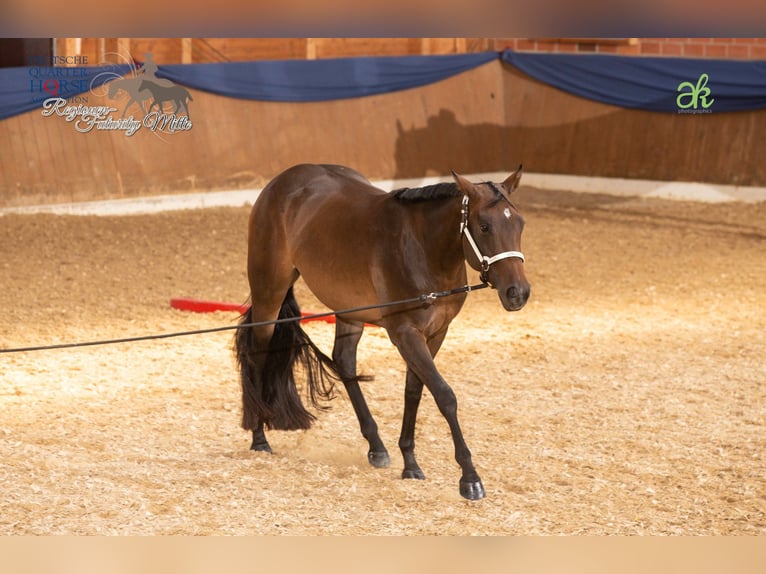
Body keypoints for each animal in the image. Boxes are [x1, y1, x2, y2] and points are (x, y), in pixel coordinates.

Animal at [235, 163, 530, 500]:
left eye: (519, 224)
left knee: (344, 361)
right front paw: (469, 477)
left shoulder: (435, 333)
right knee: (258, 354)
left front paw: (410, 462)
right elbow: (444, 395)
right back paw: (259, 437)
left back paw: (376, 446)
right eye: (484, 226)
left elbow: (414, 391)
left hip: (348, 311)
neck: (422, 247)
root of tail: (281, 182)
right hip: (269, 290)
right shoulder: (405, 334)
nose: (518, 293)